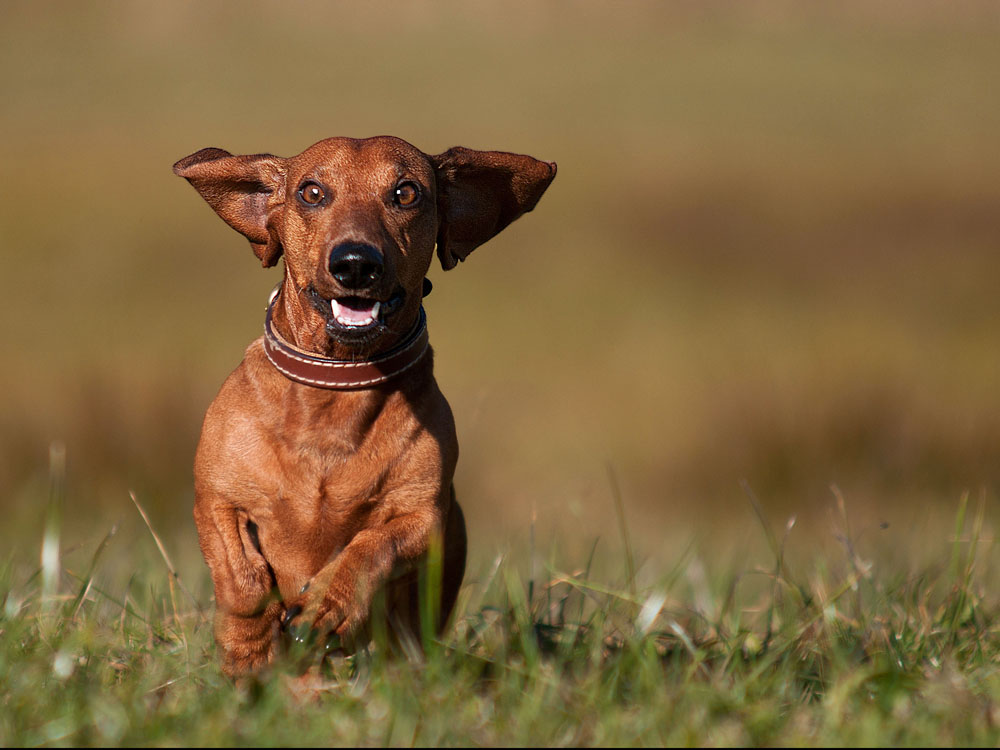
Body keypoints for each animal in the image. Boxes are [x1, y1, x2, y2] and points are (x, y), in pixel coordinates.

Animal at [176, 138, 560, 680]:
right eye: (311, 192)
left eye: (406, 192)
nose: (355, 262)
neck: (336, 395)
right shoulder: (216, 500)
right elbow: (244, 580)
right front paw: (248, 651)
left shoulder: (424, 517)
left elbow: (373, 547)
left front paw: (327, 605)